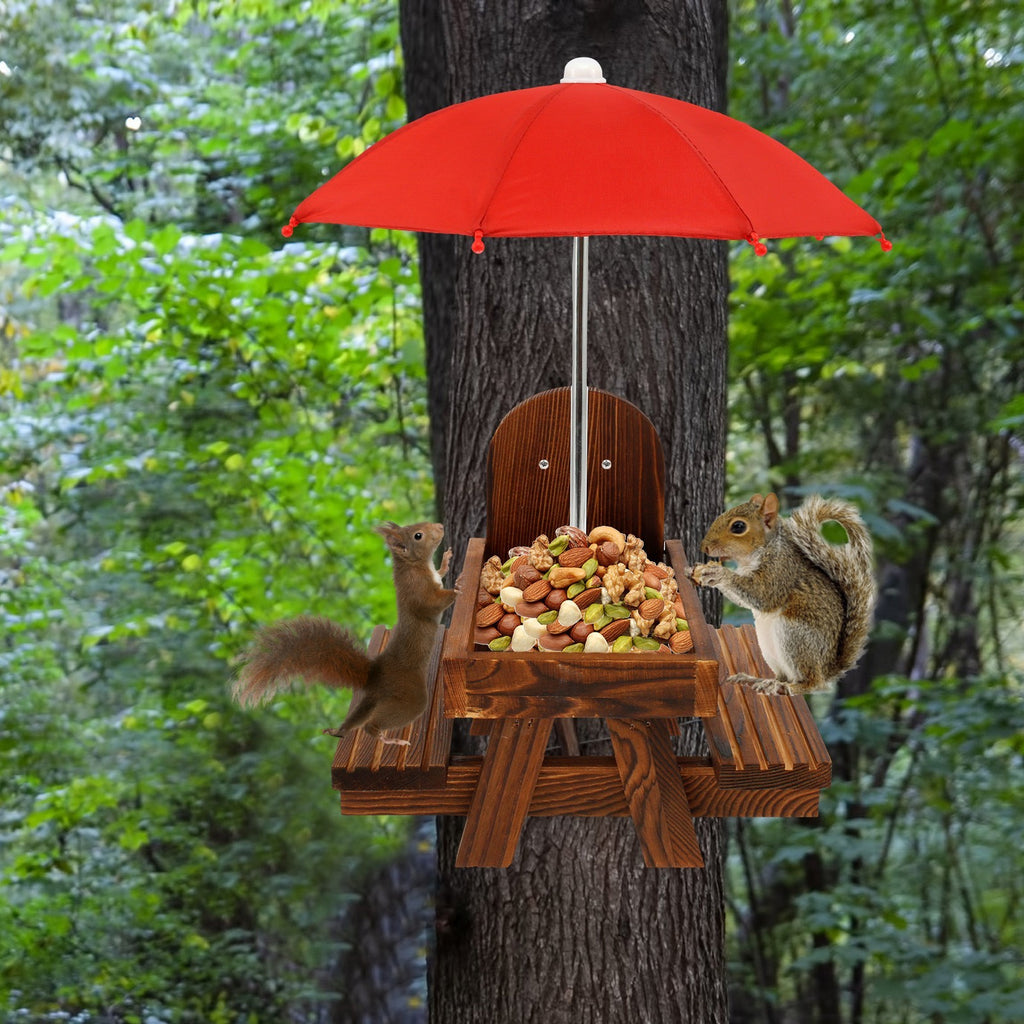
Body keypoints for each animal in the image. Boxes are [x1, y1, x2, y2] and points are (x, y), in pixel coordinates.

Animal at [232, 521, 456, 745]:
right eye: (418, 535)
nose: (440, 526)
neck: (415, 565)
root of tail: (374, 674)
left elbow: (440, 574)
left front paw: (446, 560)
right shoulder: (416, 591)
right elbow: (430, 605)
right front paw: (456, 589)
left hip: (372, 699)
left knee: (356, 719)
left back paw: (338, 730)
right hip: (409, 694)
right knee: (372, 724)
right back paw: (389, 740)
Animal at [686, 493, 875, 696]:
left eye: (738, 526)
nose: (704, 548)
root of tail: (828, 668)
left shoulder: (780, 571)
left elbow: (762, 595)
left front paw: (718, 573)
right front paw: (697, 571)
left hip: (795, 636)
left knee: (814, 683)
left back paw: (791, 687)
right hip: (767, 645)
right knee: (783, 675)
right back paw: (760, 680)